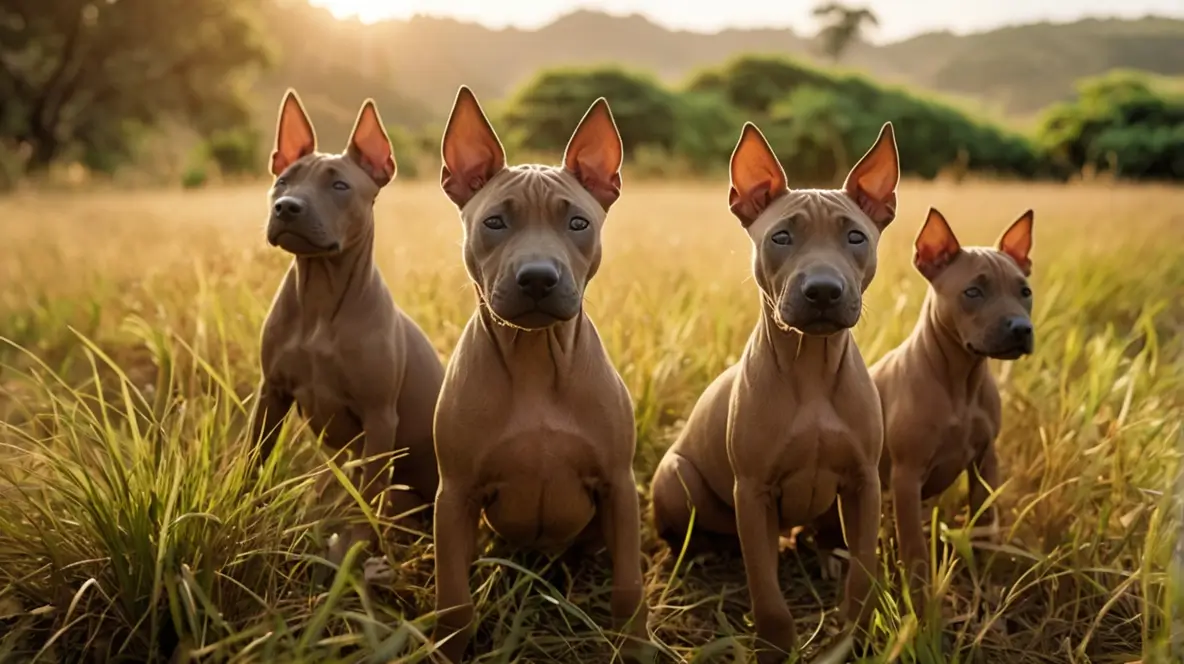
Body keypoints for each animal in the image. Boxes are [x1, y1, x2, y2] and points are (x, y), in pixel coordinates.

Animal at [246, 90, 445, 561]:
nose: (287, 207)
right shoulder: (271, 392)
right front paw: (239, 509)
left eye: (340, 186)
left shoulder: (379, 417)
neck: (320, 298)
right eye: (284, 182)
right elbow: (254, 458)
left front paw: (356, 548)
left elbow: (368, 496)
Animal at [428, 86, 648, 658]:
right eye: (494, 223)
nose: (537, 278)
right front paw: (447, 647)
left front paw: (637, 645)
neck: (533, 357)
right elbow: (454, 599)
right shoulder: (454, 494)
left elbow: (629, 587)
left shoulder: (618, 486)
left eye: (578, 224)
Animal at [648, 120, 895, 658]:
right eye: (781, 236)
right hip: (675, 477)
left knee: (823, 532)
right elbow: (766, 588)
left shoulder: (865, 482)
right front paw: (775, 647)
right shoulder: (753, 491)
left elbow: (864, 573)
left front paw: (855, 631)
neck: (812, 368)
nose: (822, 290)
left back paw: (826, 553)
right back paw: (700, 554)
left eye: (856, 237)